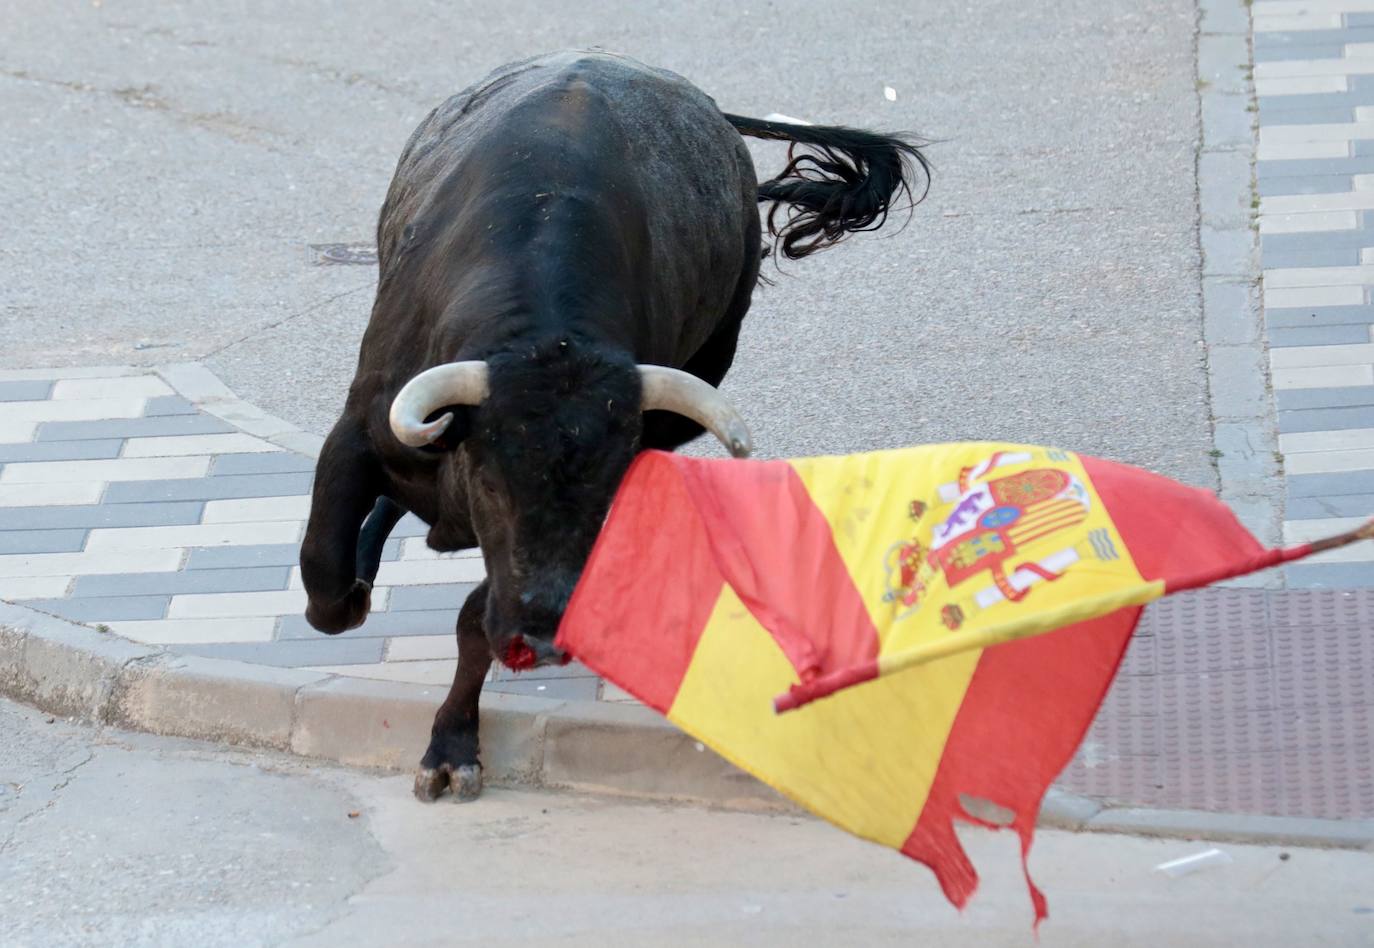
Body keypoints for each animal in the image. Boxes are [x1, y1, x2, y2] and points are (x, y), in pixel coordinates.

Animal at [299, 51, 923, 796]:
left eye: (607, 491)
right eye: (491, 482)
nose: (541, 641)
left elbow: (473, 619)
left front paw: (452, 747)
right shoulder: (359, 431)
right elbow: (327, 583)